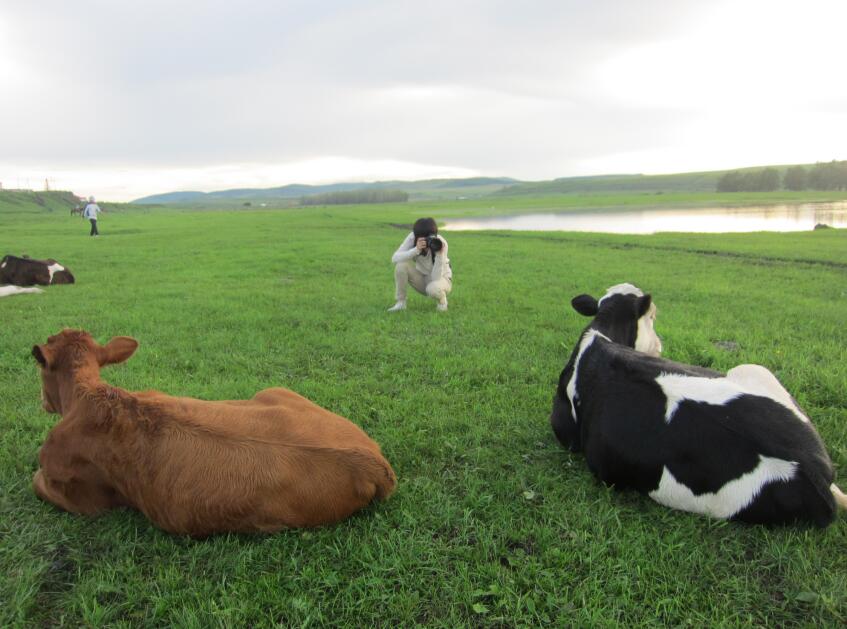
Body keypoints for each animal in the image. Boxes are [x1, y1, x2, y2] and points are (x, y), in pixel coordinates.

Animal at [32, 328, 398, 536]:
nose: (44, 402)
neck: (89, 396)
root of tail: (373, 461)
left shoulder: (81, 496)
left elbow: (36, 482)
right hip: (275, 390)